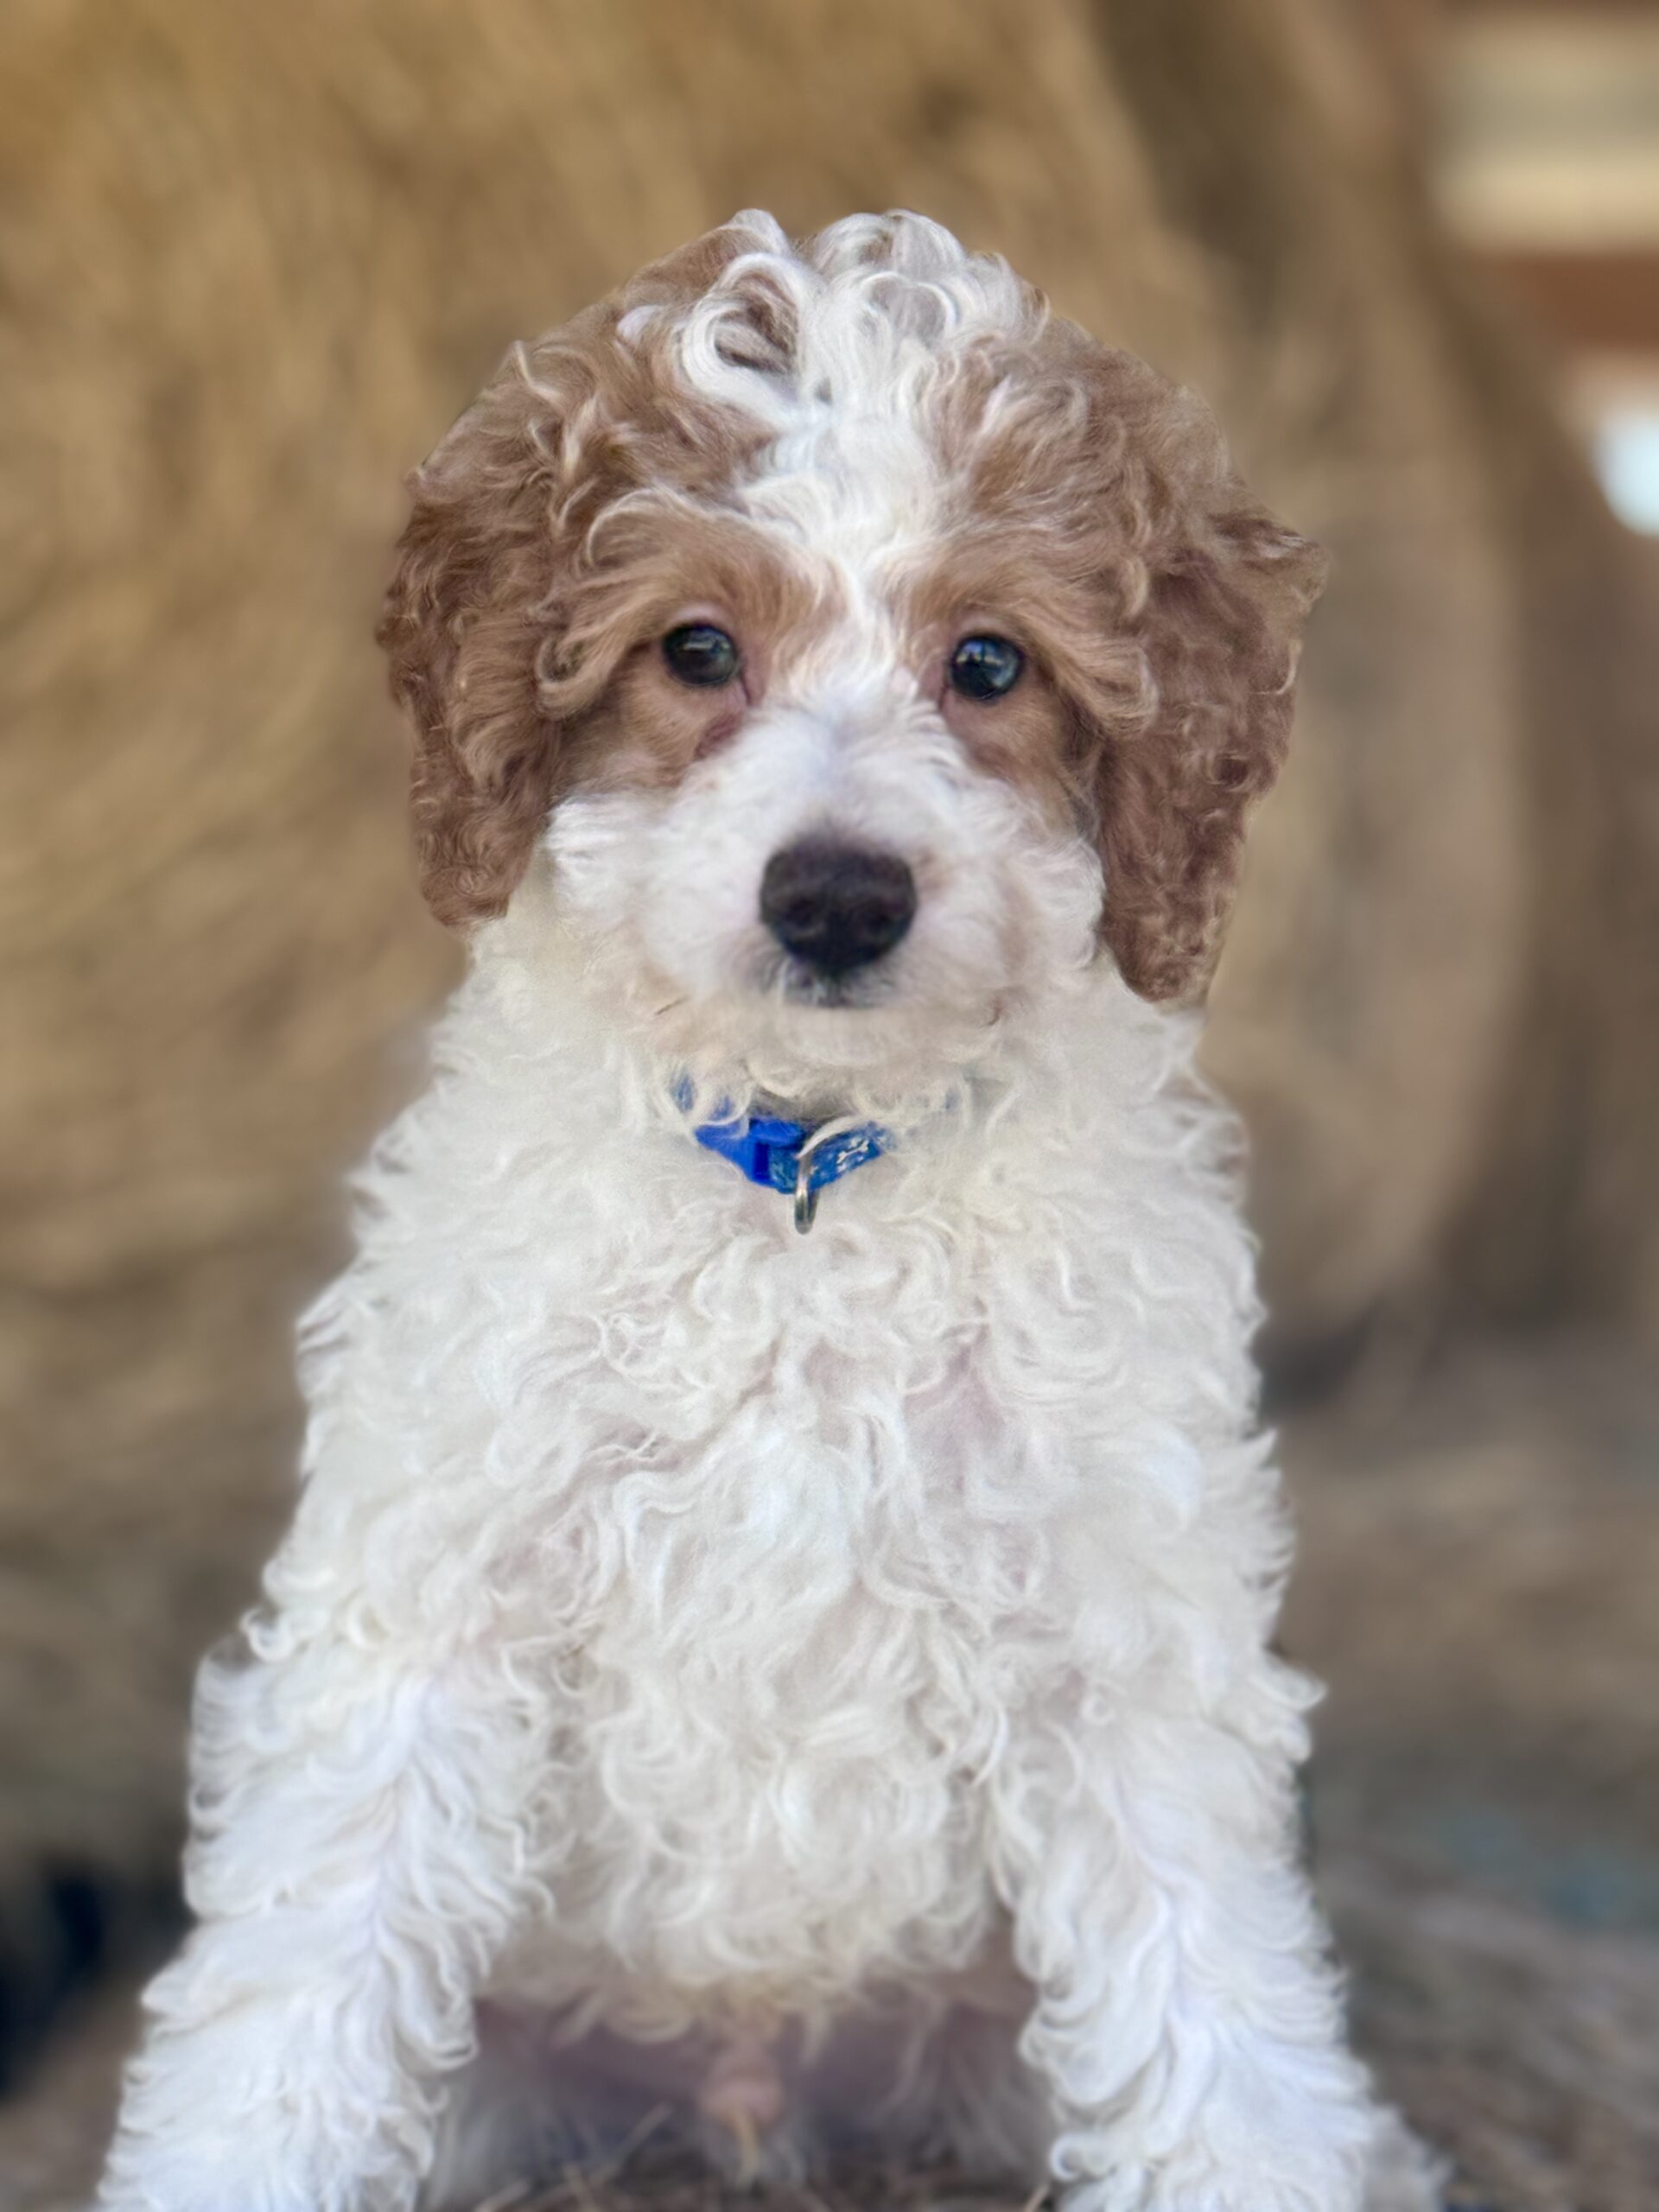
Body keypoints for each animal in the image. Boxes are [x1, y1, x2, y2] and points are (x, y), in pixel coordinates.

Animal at [97, 211, 1435, 2212]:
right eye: (696, 648)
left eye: (990, 662)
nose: (838, 898)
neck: (807, 1180)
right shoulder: (438, 1592)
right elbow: (301, 1975)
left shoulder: (1111, 1630)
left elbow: (1214, 1998)